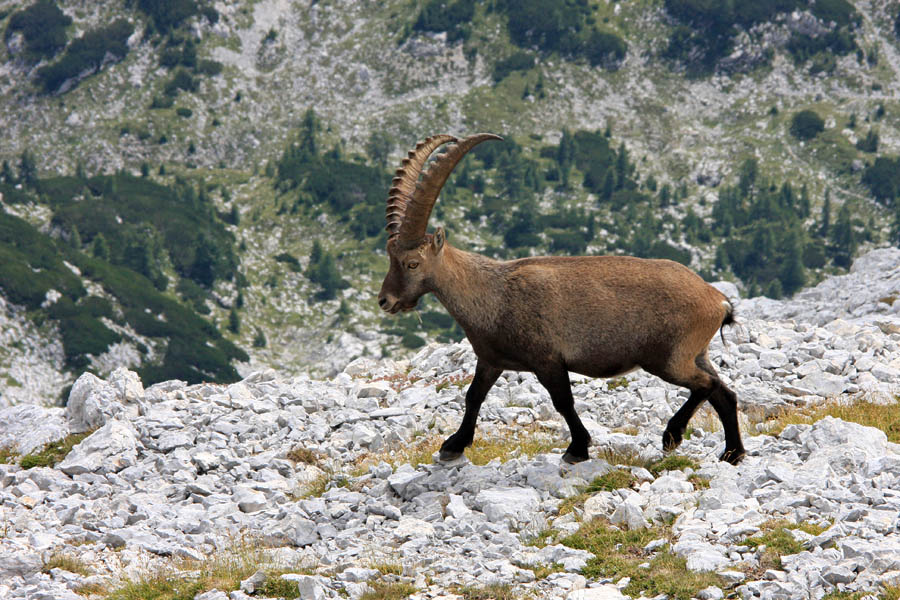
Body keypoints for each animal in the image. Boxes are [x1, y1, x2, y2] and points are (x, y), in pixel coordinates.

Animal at [377, 133, 745, 465]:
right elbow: (473, 396)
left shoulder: (548, 360)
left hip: (668, 357)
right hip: (695, 353)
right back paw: (732, 453)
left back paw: (672, 436)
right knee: (724, 392)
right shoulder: (492, 359)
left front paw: (577, 449)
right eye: (390, 257)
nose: (385, 301)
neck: (491, 294)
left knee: (706, 385)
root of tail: (717, 300)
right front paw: (454, 445)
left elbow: (562, 402)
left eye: (412, 263)